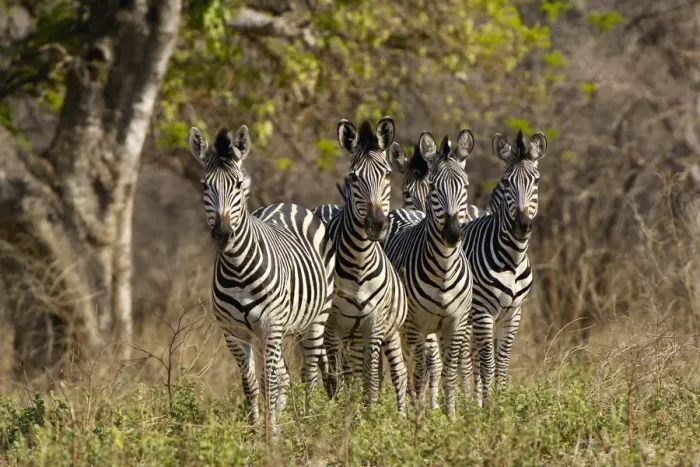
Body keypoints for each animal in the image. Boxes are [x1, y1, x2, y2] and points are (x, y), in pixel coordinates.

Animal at [188, 125, 335, 428]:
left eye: (238, 185)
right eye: (204, 185)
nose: (222, 235)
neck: (237, 268)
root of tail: (286, 204)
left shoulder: (270, 325)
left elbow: (270, 383)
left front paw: (272, 435)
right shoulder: (234, 331)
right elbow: (252, 385)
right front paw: (257, 431)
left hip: (316, 319)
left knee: (309, 375)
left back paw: (307, 421)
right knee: (286, 376)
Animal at [312, 117, 409, 413]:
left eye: (387, 174)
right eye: (354, 177)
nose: (376, 224)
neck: (359, 263)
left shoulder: (374, 325)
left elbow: (371, 378)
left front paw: (370, 416)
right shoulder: (332, 326)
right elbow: (337, 378)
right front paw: (340, 415)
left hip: (387, 331)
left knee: (398, 373)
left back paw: (401, 415)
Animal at [383, 131, 474, 416]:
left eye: (465, 187)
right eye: (435, 188)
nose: (452, 234)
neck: (444, 268)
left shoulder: (455, 324)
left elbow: (448, 373)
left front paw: (449, 416)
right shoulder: (415, 326)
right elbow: (419, 372)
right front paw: (419, 417)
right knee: (398, 369)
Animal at [459, 129, 547, 407]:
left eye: (536, 181)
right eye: (508, 182)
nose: (522, 225)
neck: (513, 259)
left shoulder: (513, 313)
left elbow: (502, 363)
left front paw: (499, 402)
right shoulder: (483, 312)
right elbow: (488, 364)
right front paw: (489, 409)